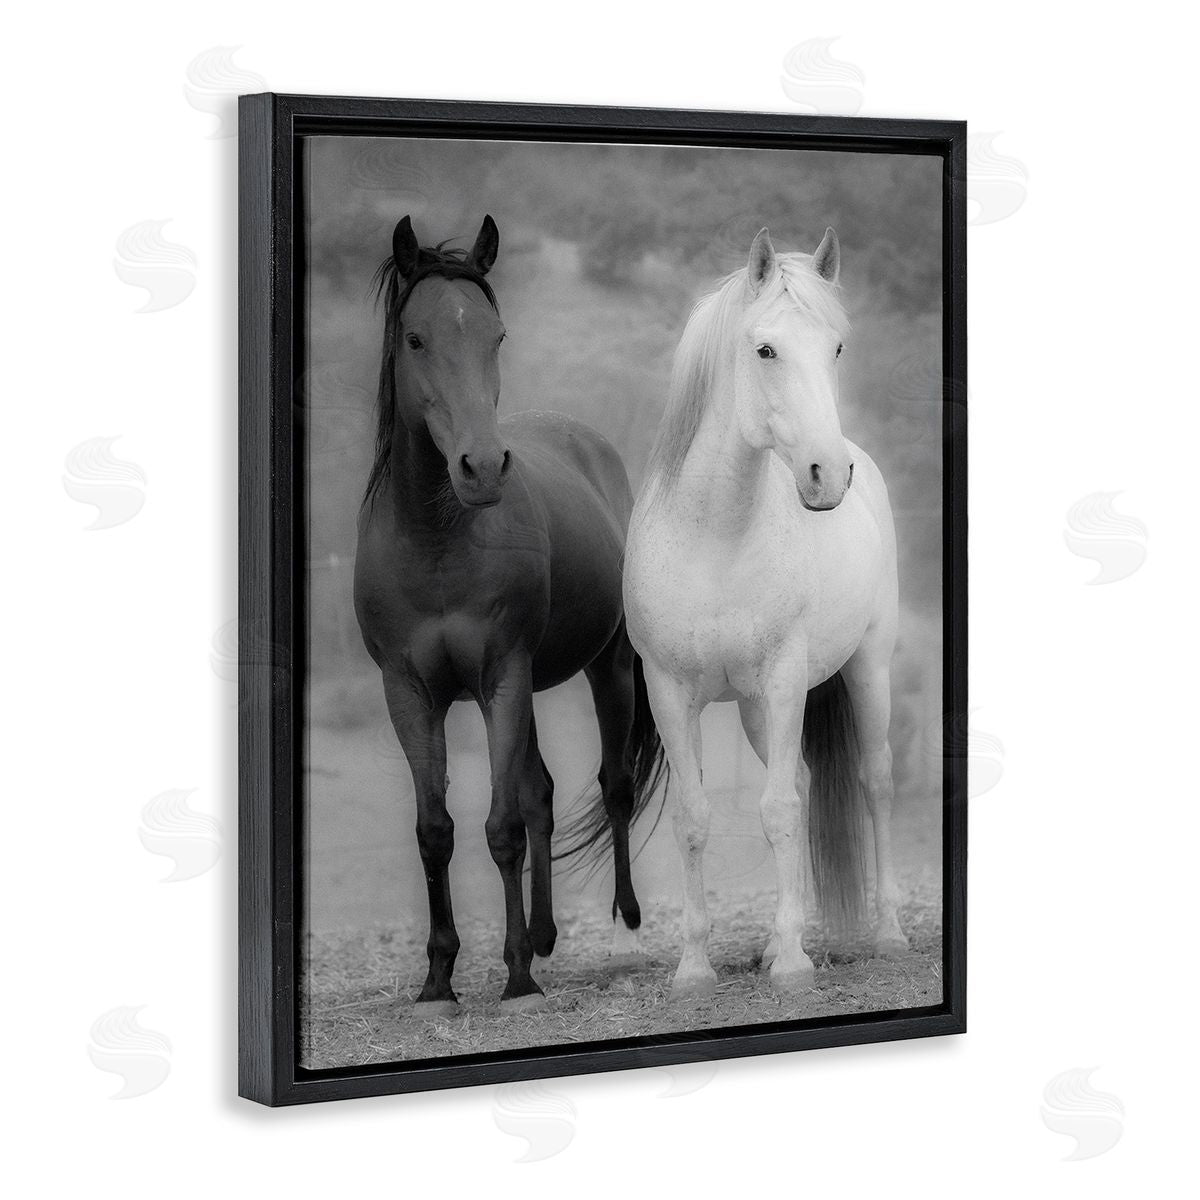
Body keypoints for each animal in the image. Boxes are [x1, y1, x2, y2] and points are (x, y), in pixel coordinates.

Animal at [353, 214, 664, 1014]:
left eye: (496, 335)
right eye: (416, 338)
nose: (484, 467)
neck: (437, 542)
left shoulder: (503, 677)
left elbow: (502, 829)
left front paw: (518, 976)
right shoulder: (409, 693)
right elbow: (437, 831)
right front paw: (439, 978)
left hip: (604, 669)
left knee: (611, 788)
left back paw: (621, 929)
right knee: (542, 795)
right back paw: (545, 935)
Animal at [623, 226, 908, 999]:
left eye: (835, 348)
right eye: (766, 350)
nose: (826, 475)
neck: (714, 535)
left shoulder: (783, 680)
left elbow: (777, 810)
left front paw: (791, 967)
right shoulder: (671, 692)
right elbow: (695, 818)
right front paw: (695, 969)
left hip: (866, 670)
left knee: (873, 781)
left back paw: (887, 933)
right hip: (754, 709)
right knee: (804, 784)